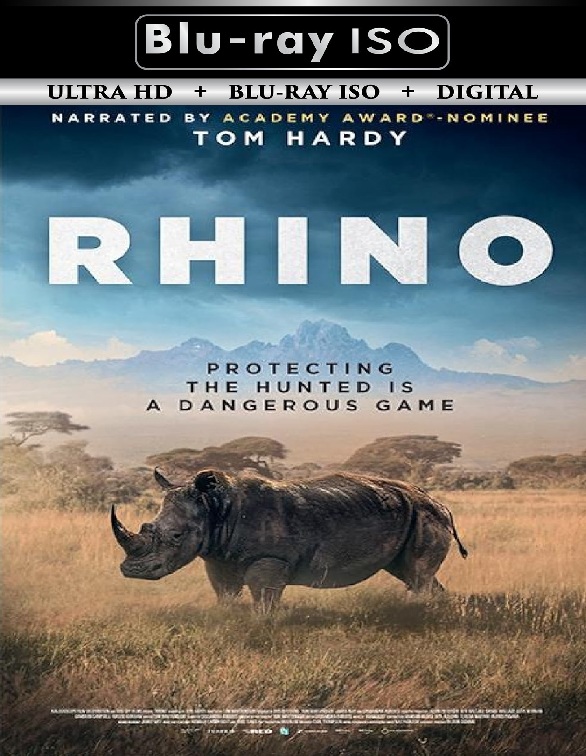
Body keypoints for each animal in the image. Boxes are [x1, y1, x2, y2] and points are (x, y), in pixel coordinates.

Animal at [111, 468, 468, 611]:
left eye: (176, 536)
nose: (132, 571)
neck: (214, 509)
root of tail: (440, 502)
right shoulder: (217, 556)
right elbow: (224, 593)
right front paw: (226, 617)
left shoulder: (270, 558)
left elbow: (263, 598)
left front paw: (262, 624)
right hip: (413, 514)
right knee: (412, 573)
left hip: (425, 514)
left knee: (417, 574)